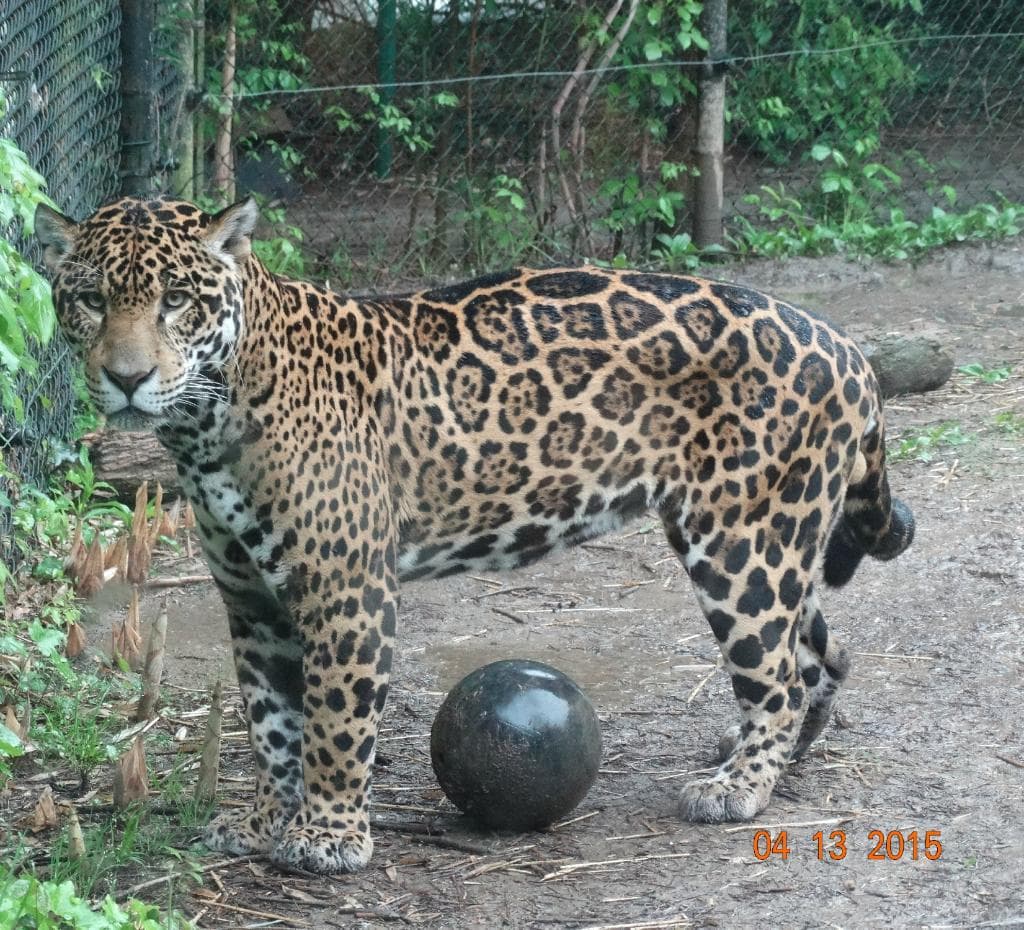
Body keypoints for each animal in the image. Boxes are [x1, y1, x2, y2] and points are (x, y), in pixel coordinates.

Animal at [35, 196, 914, 875]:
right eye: (90, 300)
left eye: (178, 300)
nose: (125, 378)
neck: (207, 425)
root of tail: (848, 347)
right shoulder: (250, 600)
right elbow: (271, 725)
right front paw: (262, 824)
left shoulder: (345, 589)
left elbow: (332, 723)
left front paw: (329, 838)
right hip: (777, 535)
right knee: (821, 653)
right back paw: (776, 754)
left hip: (740, 541)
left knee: (778, 672)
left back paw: (738, 788)